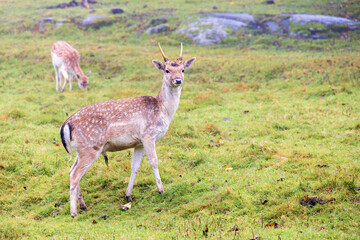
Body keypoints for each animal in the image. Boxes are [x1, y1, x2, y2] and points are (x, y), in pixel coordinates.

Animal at [61, 43, 197, 218]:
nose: (178, 80)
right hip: (91, 147)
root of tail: (66, 124)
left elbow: (135, 167)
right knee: (74, 175)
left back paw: (83, 206)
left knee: (71, 170)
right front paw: (161, 190)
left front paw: (128, 196)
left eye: (183, 69)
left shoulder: (138, 143)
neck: (162, 111)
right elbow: (154, 161)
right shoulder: (148, 135)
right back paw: (74, 212)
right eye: (166, 70)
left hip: (80, 149)